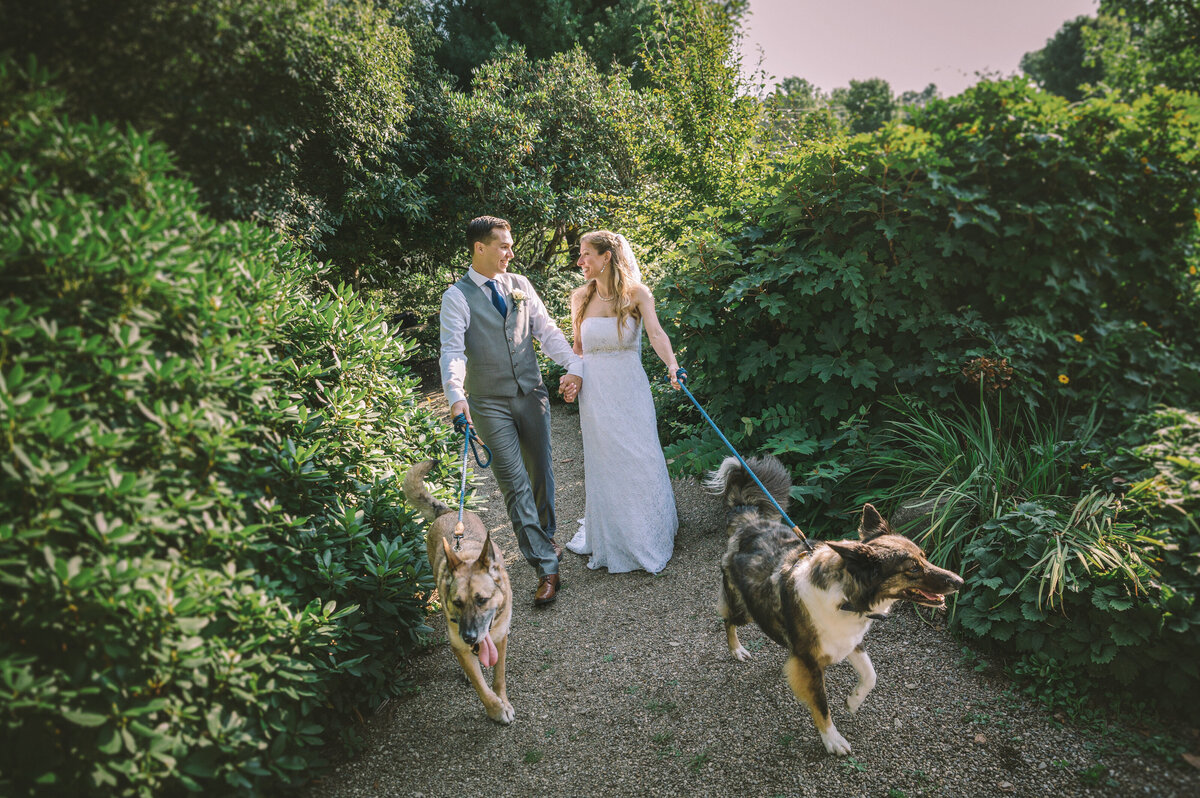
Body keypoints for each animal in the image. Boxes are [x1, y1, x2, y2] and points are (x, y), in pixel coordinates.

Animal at [403, 458, 516, 724]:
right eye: (457, 602)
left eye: (482, 600)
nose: (469, 637)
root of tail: (449, 513)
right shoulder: (459, 644)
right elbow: (481, 687)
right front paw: (495, 709)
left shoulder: (500, 639)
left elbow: (498, 678)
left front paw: (503, 702)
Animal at [705, 453, 960, 753]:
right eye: (912, 569)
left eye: (924, 557)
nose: (959, 581)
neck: (845, 599)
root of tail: (748, 521)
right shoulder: (810, 663)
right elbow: (821, 704)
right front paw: (832, 739)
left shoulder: (850, 641)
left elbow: (871, 675)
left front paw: (853, 701)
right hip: (744, 608)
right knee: (728, 619)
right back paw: (736, 649)